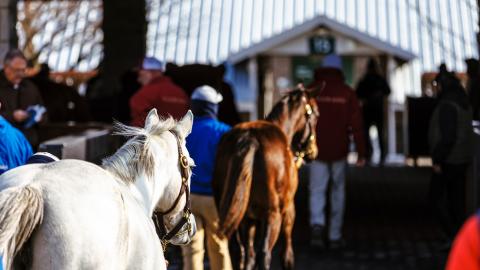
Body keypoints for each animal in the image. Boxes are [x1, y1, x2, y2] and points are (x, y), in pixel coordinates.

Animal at [213, 87, 318, 268]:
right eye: (316, 114)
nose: (313, 151)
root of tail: (250, 139)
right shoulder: (288, 211)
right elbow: (287, 255)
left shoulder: (249, 219)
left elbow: (249, 255)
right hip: (273, 215)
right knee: (264, 253)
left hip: (234, 213)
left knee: (242, 253)